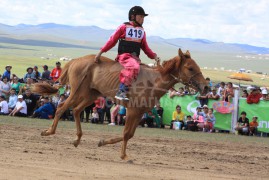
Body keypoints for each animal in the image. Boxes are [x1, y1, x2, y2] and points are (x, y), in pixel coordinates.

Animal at [32, 48, 206, 160]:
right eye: (190, 68)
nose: (204, 86)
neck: (153, 81)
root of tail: (75, 61)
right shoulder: (133, 111)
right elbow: (126, 133)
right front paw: (124, 155)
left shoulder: (139, 113)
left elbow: (129, 134)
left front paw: (103, 142)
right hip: (77, 92)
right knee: (62, 107)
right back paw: (48, 132)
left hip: (90, 94)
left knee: (75, 111)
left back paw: (77, 139)